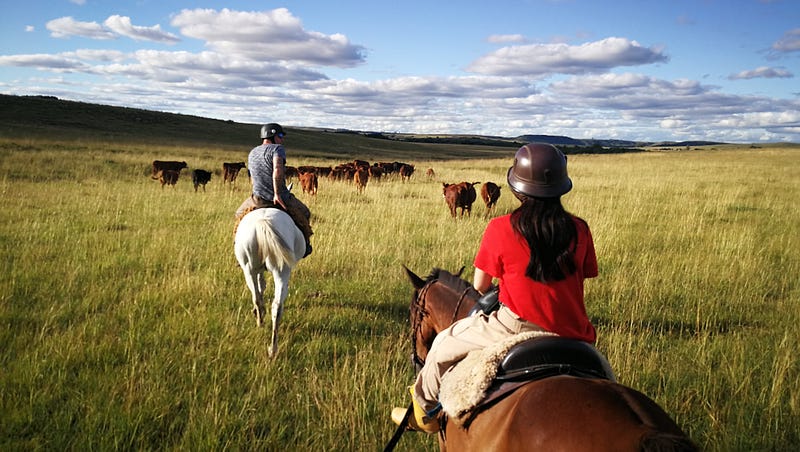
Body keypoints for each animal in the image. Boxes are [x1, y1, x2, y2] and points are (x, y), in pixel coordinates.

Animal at [234, 207, 306, 358]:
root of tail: (263, 222)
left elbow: (261, 287)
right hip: (280, 270)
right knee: (276, 306)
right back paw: (273, 349)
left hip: (249, 270)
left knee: (258, 298)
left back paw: (260, 322)